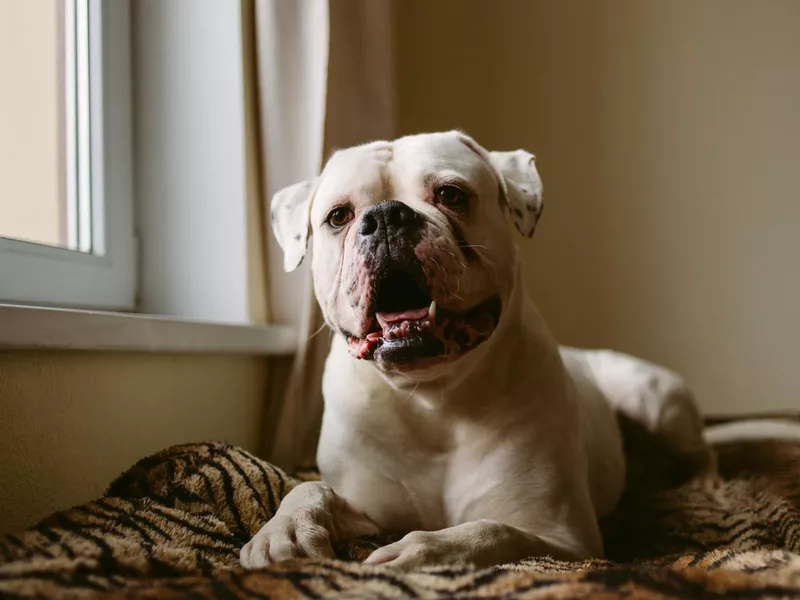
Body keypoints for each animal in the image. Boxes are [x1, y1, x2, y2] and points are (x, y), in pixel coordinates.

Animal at [239, 129, 712, 568]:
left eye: (451, 194)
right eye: (339, 216)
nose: (386, 215)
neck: (432, 398)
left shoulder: (562, 537)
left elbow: (488, 531)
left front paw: (418, 551)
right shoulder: (368, 512)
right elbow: (309, 486)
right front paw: (285, 530)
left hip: (654, 399)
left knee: (702, 450)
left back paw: (703, 485)